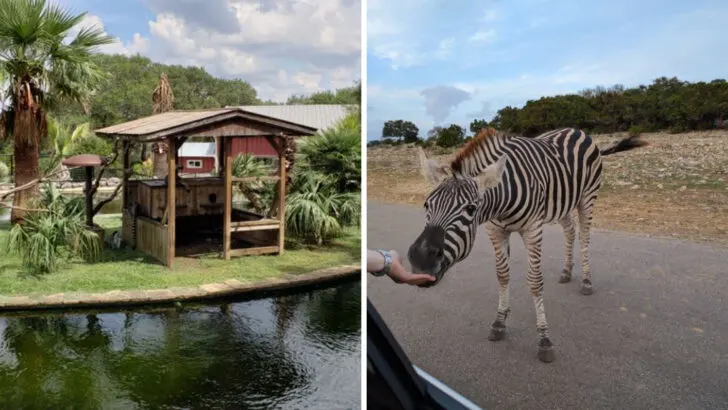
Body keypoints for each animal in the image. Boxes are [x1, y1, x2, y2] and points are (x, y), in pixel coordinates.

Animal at [407, 127, 647, 363]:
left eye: (471, 209)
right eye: (426, 204)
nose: (420, 260)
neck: (500, 202)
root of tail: (577, 130)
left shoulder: (533, 229)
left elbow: (534, 281)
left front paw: (544, 338)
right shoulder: (496, 231)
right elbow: (502, 275)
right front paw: (499, 322)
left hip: (587, 197)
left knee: (585, 237)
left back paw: (587, 281)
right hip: (562, 204)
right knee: (570, 231)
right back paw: (567, 271)